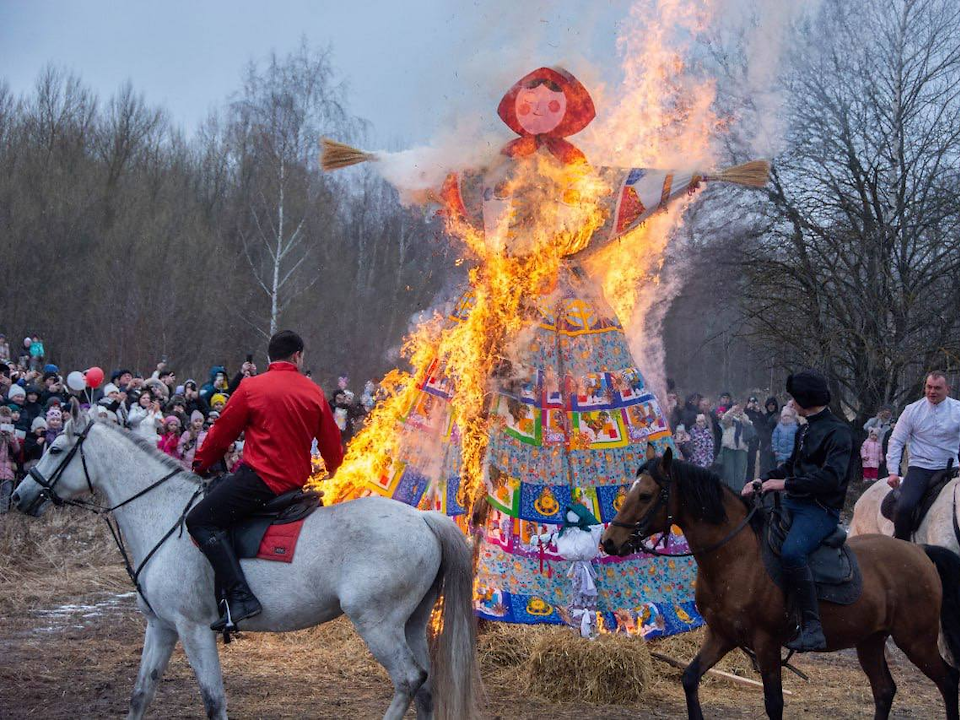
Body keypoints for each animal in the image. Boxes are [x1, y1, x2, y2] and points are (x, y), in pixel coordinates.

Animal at [15, 404, 480, 720]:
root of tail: (423, 517)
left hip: (377, 623)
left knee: (408, 680)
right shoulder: (161, 626)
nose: (19, 496)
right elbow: (140, 695)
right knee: (425, 688)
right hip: (412, 623)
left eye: (54, 448)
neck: (163, 513)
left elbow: (213, 700)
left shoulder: (192, 628)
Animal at [600, 450, 960, 720]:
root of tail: (920, 552)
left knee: (947, 682)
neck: (737, 556)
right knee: (885, 690)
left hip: (916, 640)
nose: (609, 541)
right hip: (870, 641)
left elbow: (774, 704)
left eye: (645, 494)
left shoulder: (766, 643)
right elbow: (689, 679)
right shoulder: (721, 635)